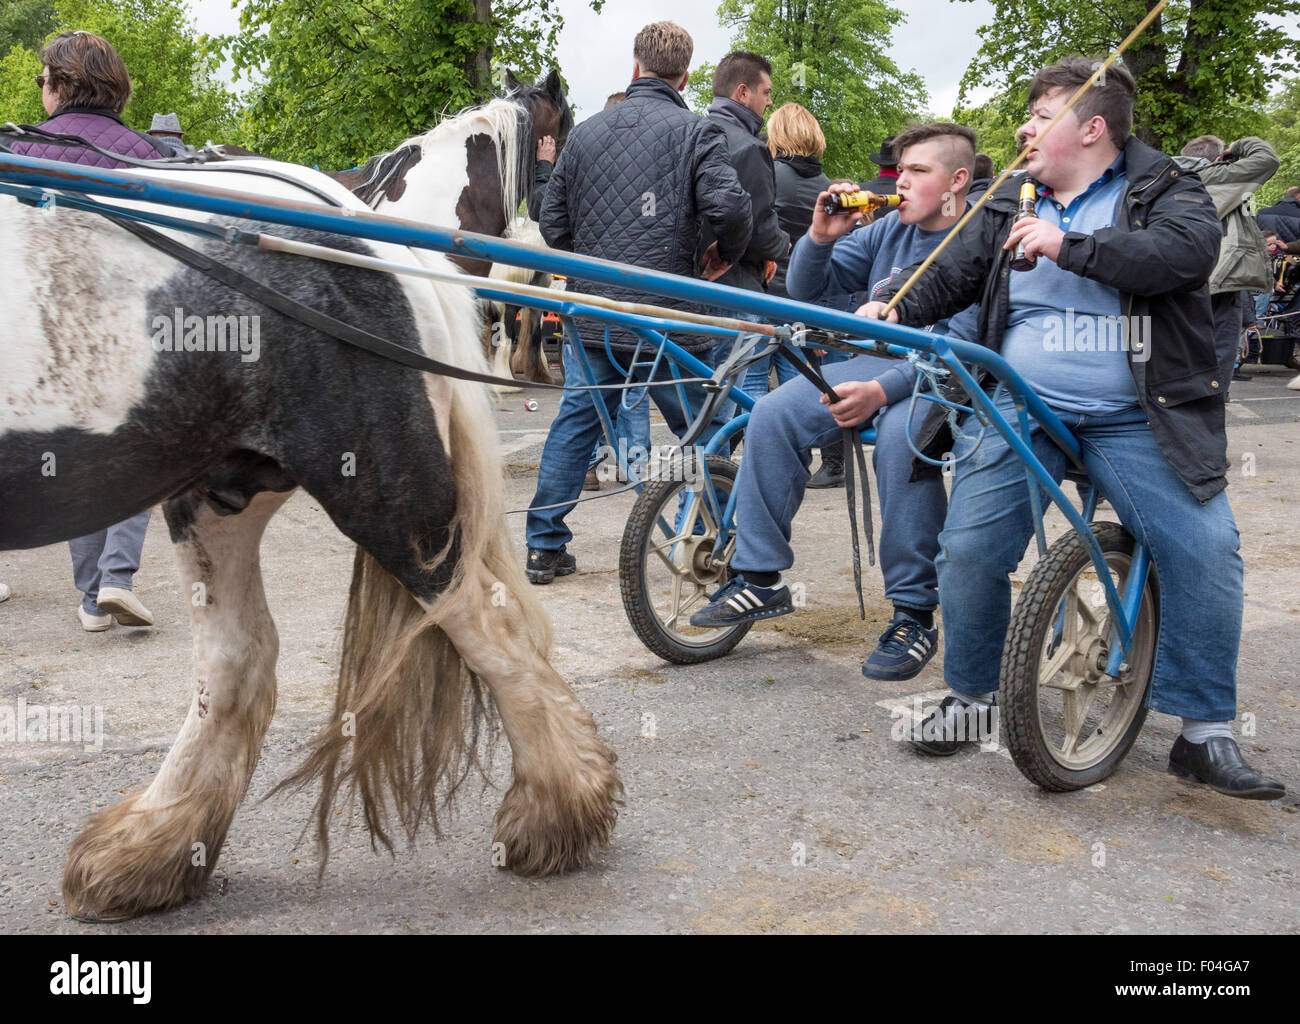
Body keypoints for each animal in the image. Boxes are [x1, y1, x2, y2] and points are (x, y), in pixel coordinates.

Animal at [1, 155, 618, 925]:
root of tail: (362, 226)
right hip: (219, 495)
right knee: (238, 658)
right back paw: (151, 849)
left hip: (388, 503)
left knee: (492, 626)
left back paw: (556, 811)